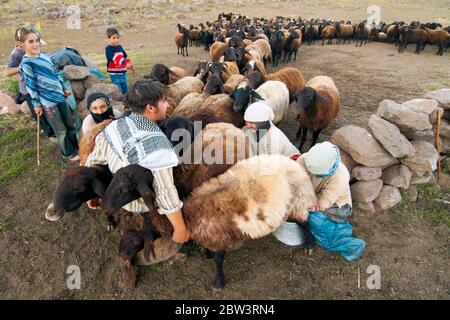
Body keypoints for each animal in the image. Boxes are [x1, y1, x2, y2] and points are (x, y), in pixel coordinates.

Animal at [103, 154, 318, 290]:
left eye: (124, 188)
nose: (105, 206)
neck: (188, 215)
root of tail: (291, 162)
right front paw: (205, 253)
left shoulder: (219, 237)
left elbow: (218, 260)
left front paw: (218, 283)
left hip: (299, 199)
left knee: (305, 222)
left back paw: (310, 245)